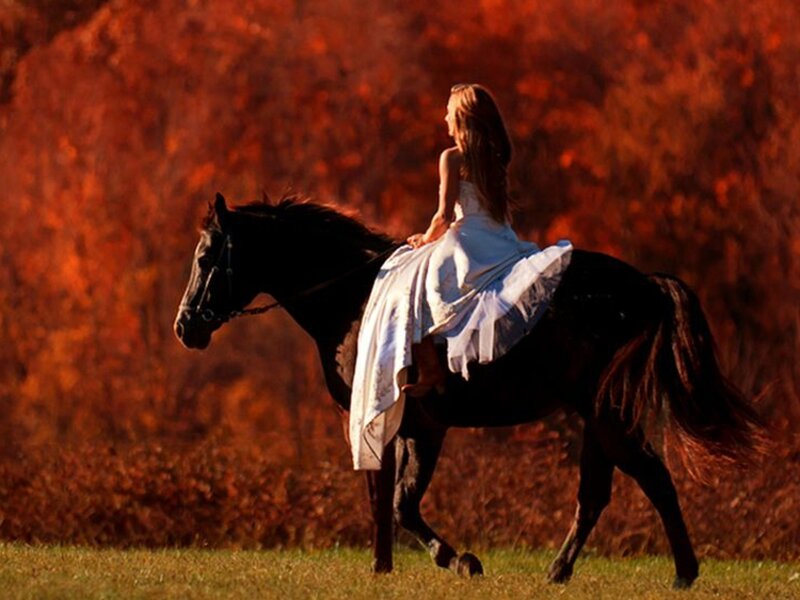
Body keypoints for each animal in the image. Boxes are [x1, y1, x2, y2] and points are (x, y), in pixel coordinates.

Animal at [174, 192, 762, 588]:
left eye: (206, 258)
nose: (186, 327)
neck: (356, 301)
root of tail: (644, 285)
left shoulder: (422, 426)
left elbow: (401, 504)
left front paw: (461, 561)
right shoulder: (389, 425)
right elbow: (383, 500)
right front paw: (383, 569)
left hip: (607, 417)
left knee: (651, 480)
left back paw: (681, 573)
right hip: (598, 416)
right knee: (598, 494)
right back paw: (561, 572)